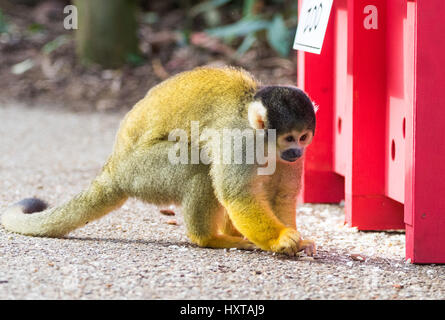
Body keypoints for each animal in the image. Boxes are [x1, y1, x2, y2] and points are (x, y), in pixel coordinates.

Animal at [1, 66, 318, 256]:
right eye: (289, 138)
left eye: (303, 138)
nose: (297, 152)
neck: (264, 142)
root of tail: (113, 167)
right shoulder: (239, 141)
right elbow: (238, 195)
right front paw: (281, 240)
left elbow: (281, 195)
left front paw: (297, 239)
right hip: (142, 171)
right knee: (200, 166)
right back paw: (209, 238)